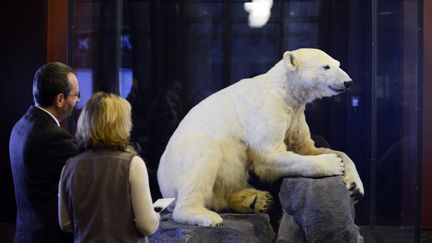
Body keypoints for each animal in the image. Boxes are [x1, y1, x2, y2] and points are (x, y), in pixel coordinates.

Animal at [157, 48, 362, 227]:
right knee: (204, 161)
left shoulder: (295, 115)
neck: (284, 90)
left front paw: (354, 185)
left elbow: (307, 147)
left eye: (338, 63)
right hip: (187, 155)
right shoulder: (268, 110)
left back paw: (255, 199)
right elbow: (268, 155)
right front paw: (332, 163)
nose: (349, 82)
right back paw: (206, 216)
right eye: (325, 66)